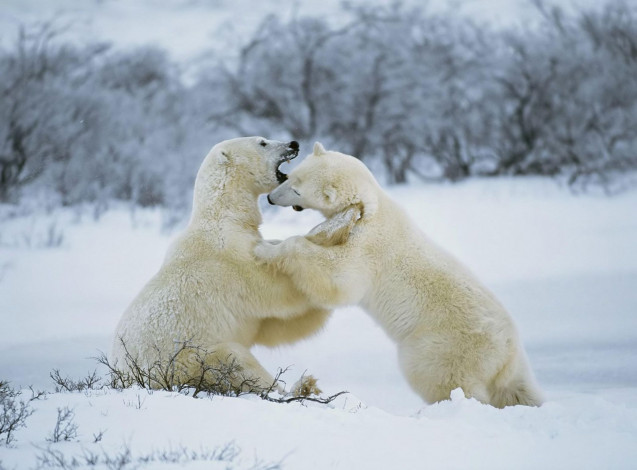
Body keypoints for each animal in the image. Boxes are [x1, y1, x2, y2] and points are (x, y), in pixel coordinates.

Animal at [110, 137, 328, 392]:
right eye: (263, 142)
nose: (294, 144)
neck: (224, 217)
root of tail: (122, 377)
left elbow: (273, 326)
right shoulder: (231, 262)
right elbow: (276, 291)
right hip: (186, 360)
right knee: (234, 361)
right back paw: (299, 386)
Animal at [256, 143, 544, 408]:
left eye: (296, 189)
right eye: (291, 176)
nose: (270, 198)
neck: (372, 207)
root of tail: (509, 351)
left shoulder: (368, 248)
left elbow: (338, 277)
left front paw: (266, 249)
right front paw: (270, 241)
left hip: (444, 345)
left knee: (440, 377)